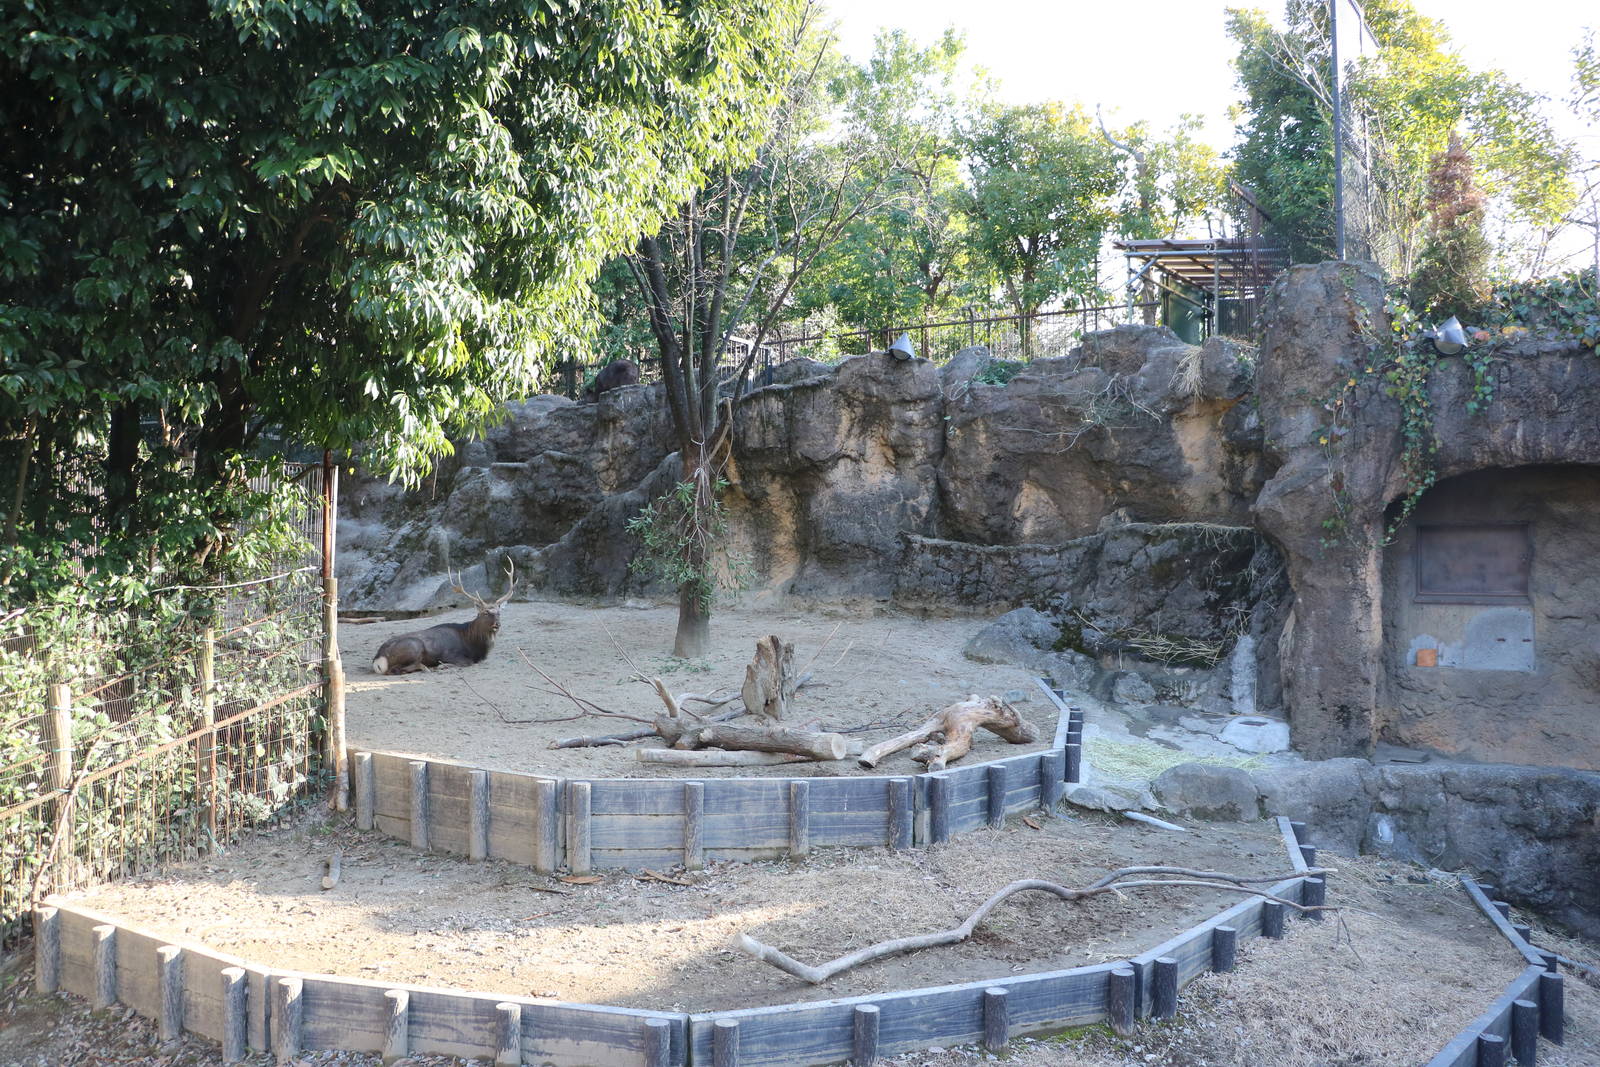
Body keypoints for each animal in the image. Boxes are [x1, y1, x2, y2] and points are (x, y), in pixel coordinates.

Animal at [371, 561, 516, 675]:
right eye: (485, 613)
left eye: (499, 612)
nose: (497, 624)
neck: (475, 646)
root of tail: (378, 659)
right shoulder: (451, 654)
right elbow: (467, 662)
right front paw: (442, 665)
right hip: (414, 646)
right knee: (396, 670)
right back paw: (429, 667)